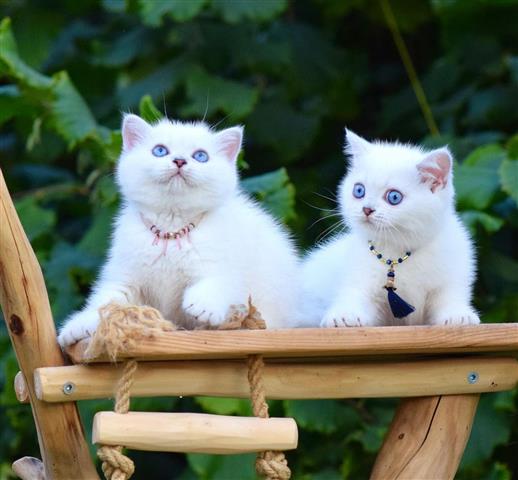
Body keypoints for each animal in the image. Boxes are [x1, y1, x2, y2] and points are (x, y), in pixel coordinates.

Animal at [57, 113, 302, 344]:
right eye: (159, 150)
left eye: (201, 156)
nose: (180, 161)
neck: (171, 229)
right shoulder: (126, 272)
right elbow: (109, 301)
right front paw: (79, 325)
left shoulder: (223, 261)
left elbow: (222, 281)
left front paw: (203, 304)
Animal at [302, 129, 482, 328]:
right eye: (359, 191)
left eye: (394, 197)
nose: (367, 209)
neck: (397, 249)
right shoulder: (358, 277)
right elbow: (355, 295)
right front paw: (345, 314)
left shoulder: (452, 272)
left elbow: (448, 295)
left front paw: (457, 314)